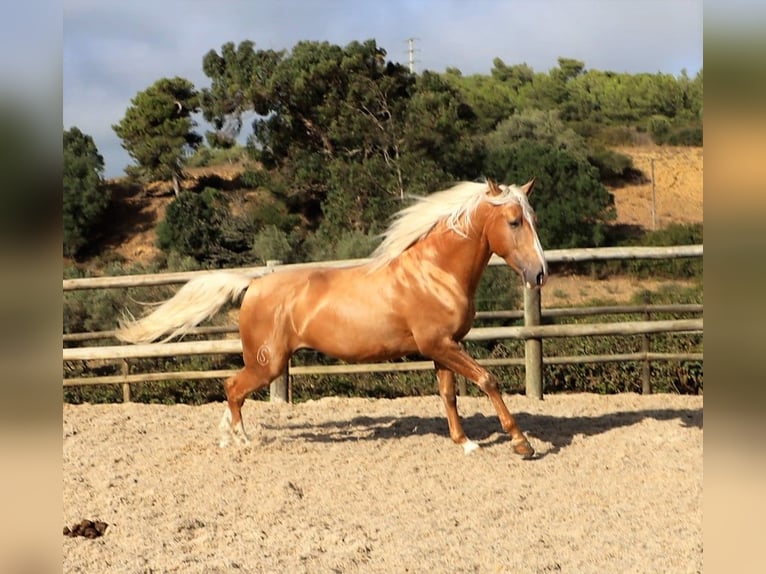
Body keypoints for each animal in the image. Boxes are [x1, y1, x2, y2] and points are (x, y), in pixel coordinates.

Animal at [118, 180, 544, 460]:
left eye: (532, 218)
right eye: (514, 222)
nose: (539, 273)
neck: (435, 273)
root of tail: (253, 284)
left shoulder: (443, 348)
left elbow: (449, 395)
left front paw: (465, 442)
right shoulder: (441, 345)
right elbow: (488, 380)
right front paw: (522, 443)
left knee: (231, 390)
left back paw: (228, 437)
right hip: (268, 363)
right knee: (232, 387)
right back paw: (242, 440)